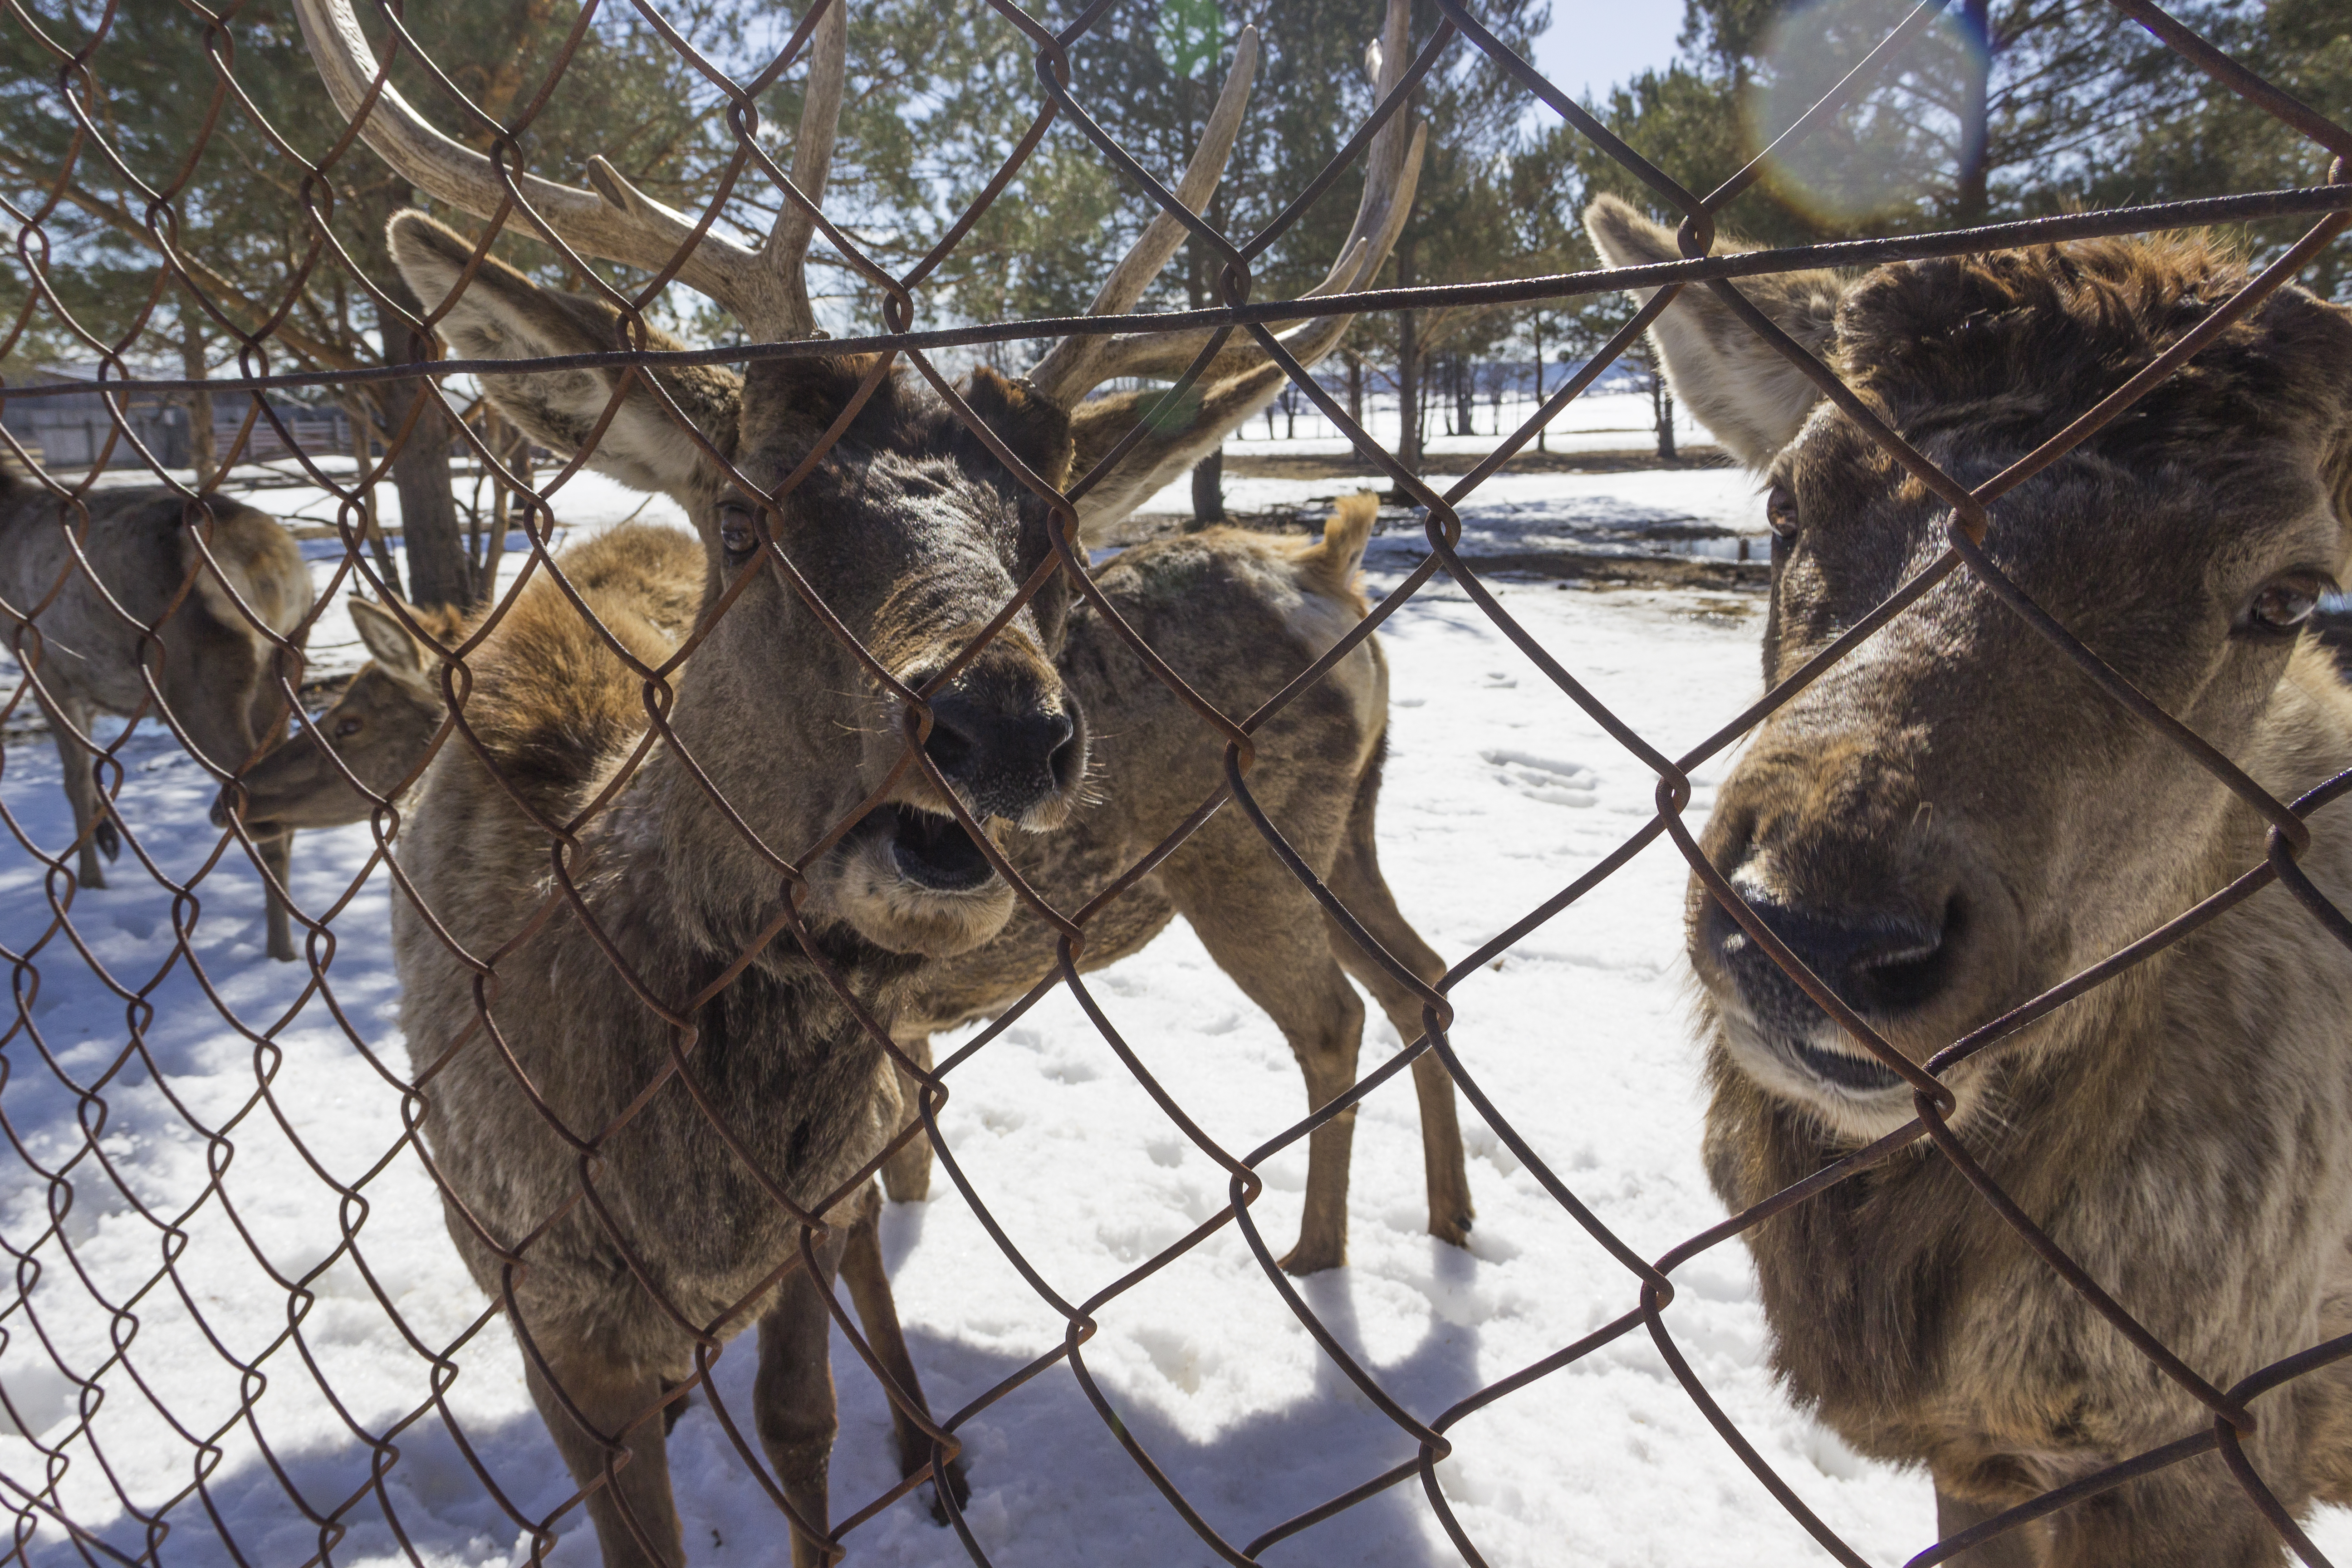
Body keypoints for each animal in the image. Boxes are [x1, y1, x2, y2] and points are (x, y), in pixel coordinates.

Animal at [0, 465, 313, 964]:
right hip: (284, 672)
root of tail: (274, 567)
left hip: (200, 682)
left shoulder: (44, 666)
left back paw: (279, 949)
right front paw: (107, 844)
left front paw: (90, 881)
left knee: (256, 808)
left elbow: (75, 780)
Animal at [294, 0, 1421, 1561]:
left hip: (1263, 849)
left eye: (1055, 538)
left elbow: (800, 1421)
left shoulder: (805, 1211)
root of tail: (1335, 558)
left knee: (1344, 1011)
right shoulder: (527, 1285)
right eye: (746, 512)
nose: (1001, 727)